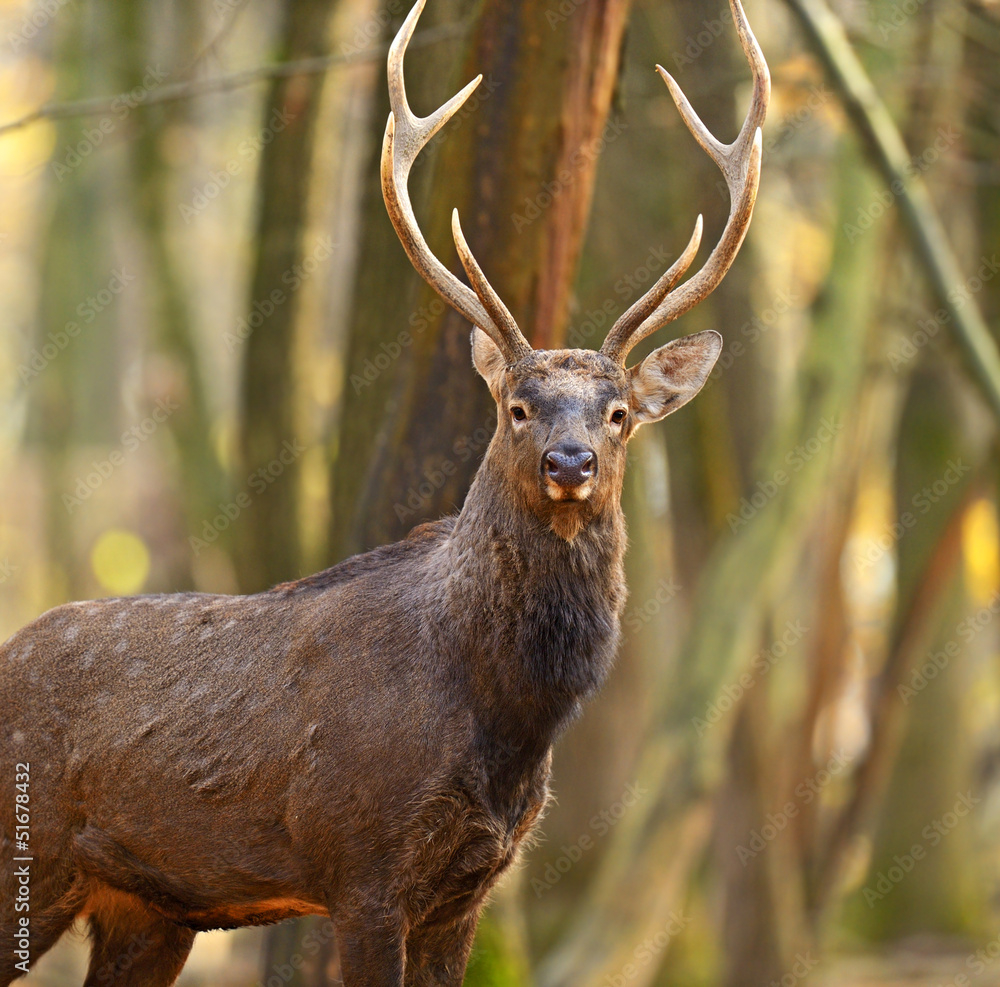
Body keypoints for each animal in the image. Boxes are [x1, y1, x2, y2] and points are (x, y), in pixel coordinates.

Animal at [0, 1, 768, 983]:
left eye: (621, 412)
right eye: (517, 406)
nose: (569, 463)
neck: (504, 713)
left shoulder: (467, 886)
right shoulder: (363, 863)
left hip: (147, 908)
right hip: (30, 846)